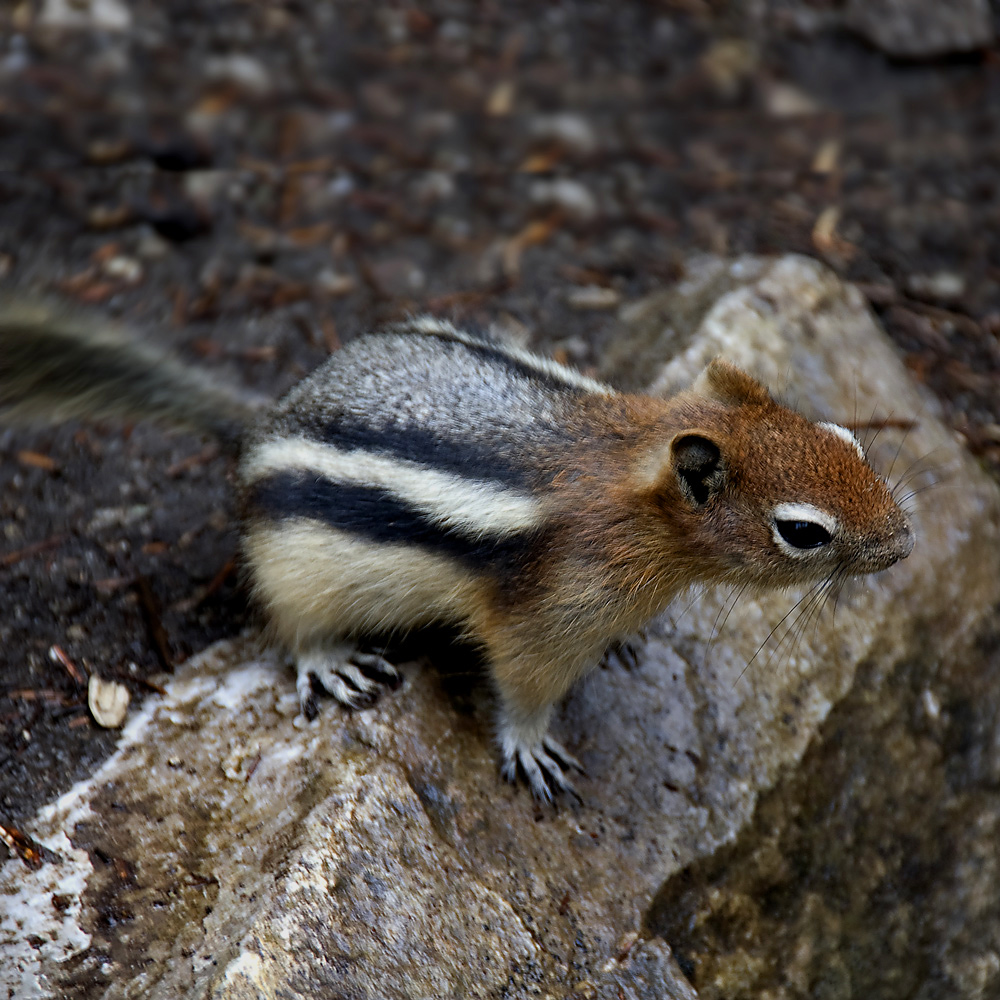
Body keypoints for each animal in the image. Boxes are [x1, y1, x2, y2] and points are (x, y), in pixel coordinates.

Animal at [0, 300, 916, 800]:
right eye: (802, 531)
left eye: (845, 437)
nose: (904, 544)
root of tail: (265, 420)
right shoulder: (545, 619)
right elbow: (524, 684)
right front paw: (532, 746)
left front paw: (626, 644)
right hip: (297, 568)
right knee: (289, 626)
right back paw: (330, 662)